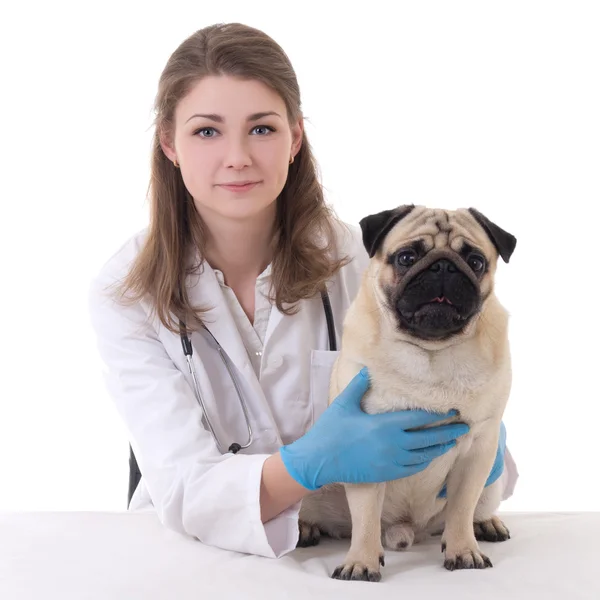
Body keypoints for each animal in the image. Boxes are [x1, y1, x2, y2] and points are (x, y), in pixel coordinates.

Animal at [298, 205, 516, 580]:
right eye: (406, 257)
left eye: (475, 261)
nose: (443, 266)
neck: (431, 352)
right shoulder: (366, 450)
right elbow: (365, 518)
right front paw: (361, 562)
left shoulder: (479, 449)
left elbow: (461, 508)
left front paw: (463, 550)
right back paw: (304, 527)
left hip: (492, 481)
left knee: (475, 506)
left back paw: (486, 523)